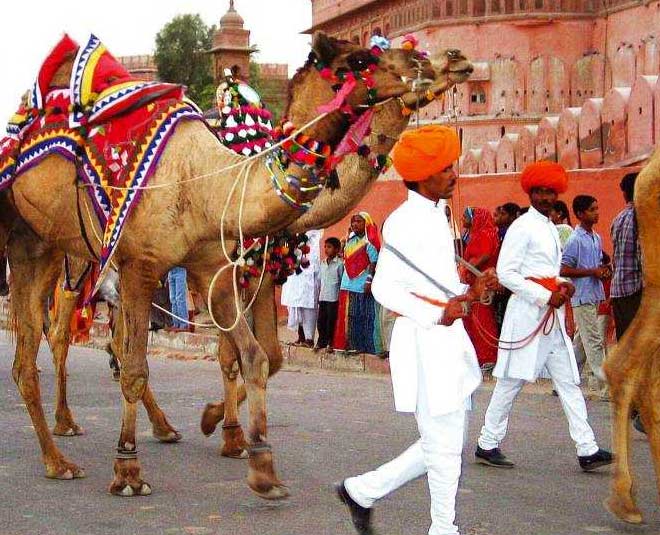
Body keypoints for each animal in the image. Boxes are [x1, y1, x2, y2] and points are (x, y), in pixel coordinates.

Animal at [6, 33, 461, 499]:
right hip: (63, 260)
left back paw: (112, 442)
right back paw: (64, 440)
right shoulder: (146, 267)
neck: (212, 183)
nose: (452, 58)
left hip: (43, 246)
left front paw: (254, 459)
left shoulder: (222, 271)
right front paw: (131, 469)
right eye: (361, 59)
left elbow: (259, 357)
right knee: (57, 338)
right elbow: (142, 367)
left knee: (45, 349)